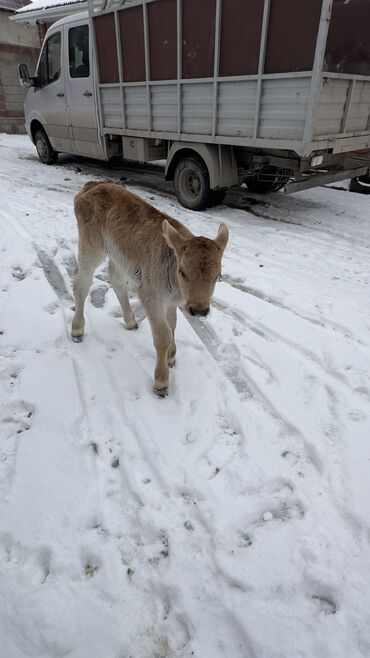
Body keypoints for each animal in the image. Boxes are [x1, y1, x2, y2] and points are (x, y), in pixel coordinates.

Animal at [71, 181, 228, 394]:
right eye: (183, 271)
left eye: (217, 276)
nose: (199, 310)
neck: (176, 289)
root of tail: (93, 185)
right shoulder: (150, 294)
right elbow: (162, 335)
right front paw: (161, 381)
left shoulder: (170, 301)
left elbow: (172, 324)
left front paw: (171, 356)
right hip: (91, 246)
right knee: (81, 282)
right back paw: (77, 329)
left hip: (119, 256)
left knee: (116, 279)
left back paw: (130, 321)